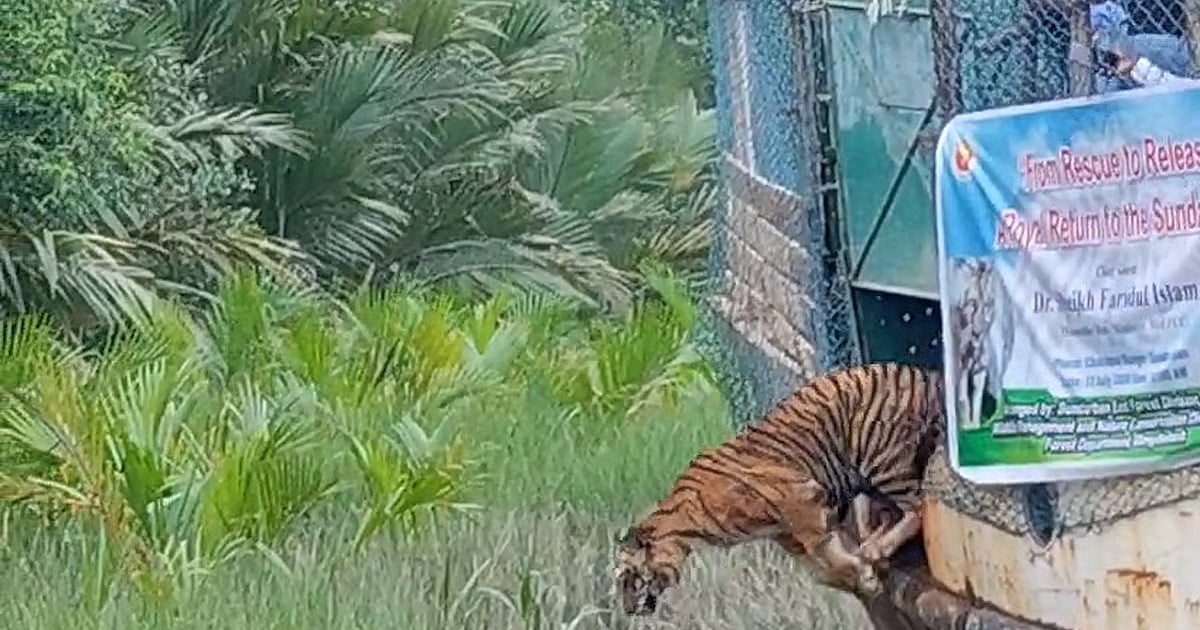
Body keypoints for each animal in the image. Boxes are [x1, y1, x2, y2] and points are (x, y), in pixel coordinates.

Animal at [615, 362, 944, 616]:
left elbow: (823, 549)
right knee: (887, 513)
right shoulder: (785, 532)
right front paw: (860, 576)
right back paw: (873, 545)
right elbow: (823, 565)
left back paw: (878, 547)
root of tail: (921, 373)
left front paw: (863, 575)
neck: (684, 526)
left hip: (879, 456)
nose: (628, 611)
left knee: (917, 507)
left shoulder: (800, 502)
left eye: (629, 580)